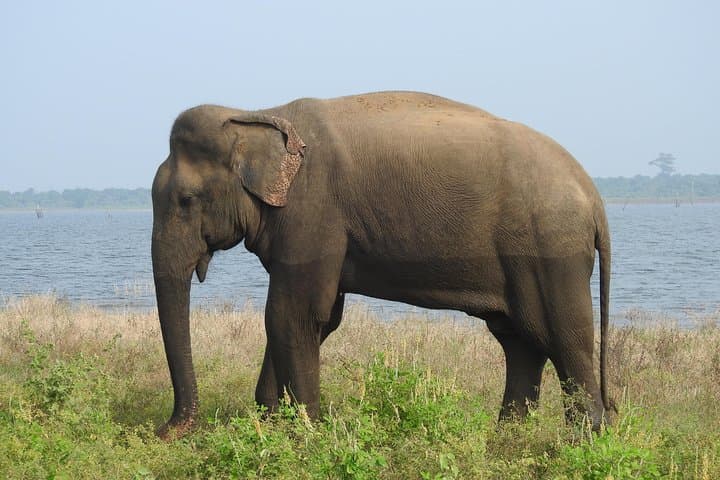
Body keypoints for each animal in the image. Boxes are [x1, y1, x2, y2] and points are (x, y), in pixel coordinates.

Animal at [151, 91, 611, 438]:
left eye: (186, 201)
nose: (166, 430)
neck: (256, 114)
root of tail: (594, 196)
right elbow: (315, 318)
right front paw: (270, 420)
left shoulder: (313, 213)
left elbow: (294, 314)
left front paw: (306, 435)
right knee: (520, 341)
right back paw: (508, 440)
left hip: (551, 250)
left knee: (564, 340)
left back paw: (583, 442)